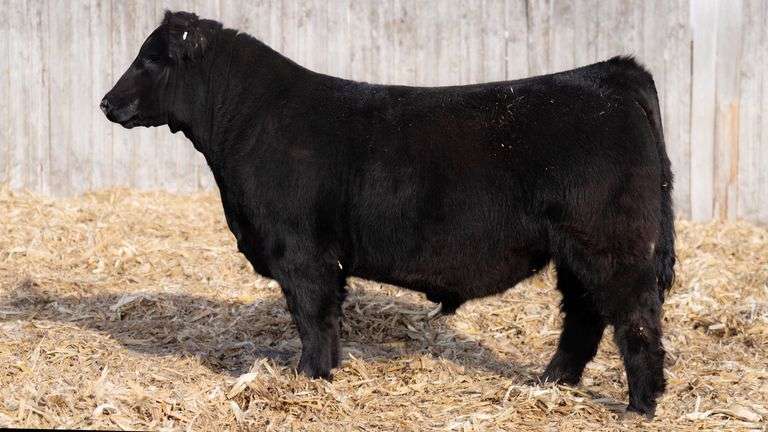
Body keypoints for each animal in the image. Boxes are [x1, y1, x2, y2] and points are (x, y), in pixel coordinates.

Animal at [101, 11, 676, 418]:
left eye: (151, 60)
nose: (106, 103)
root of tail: (608, 74)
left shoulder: (301, 251)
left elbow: (311, 317)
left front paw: (307, 379)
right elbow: (326, 319)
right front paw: (323, 375)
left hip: (610, 244)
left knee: (635, 317)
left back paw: (639, 405)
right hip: (575, 250)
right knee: (584, 315)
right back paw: (550, 383)